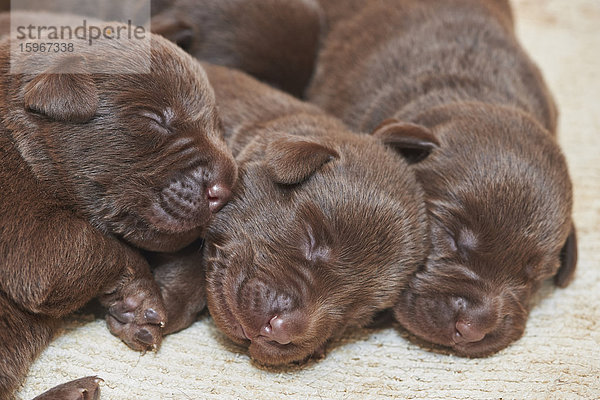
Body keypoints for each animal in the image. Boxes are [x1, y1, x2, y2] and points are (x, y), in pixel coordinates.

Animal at [1, 16, 238, 400]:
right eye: (155, 119)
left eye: (218, 126)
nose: (225, 191)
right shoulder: (27, 232)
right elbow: (100, 248)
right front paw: (139, 298)